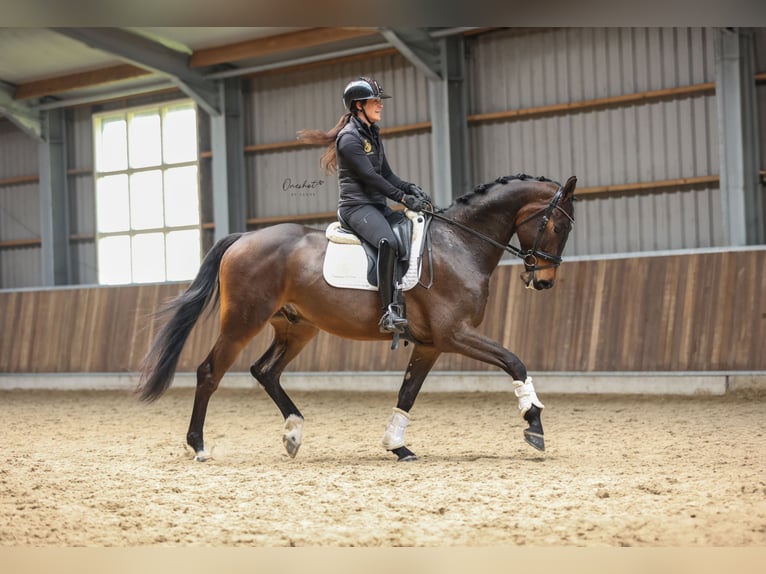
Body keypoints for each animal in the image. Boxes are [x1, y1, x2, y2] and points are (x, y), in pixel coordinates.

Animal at [138, 172, 576, 464]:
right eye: (557, 225)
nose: (544, 281)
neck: (458, 243)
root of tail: (243, 238)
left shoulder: (432, 344)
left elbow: (407, 393)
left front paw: (397, 446)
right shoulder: (455, 334)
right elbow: (514, 361)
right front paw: (534, 423)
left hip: (297, 328)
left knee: (265, 371)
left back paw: (293, 432)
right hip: (243, 322)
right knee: (210, 371)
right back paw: (198, 445)